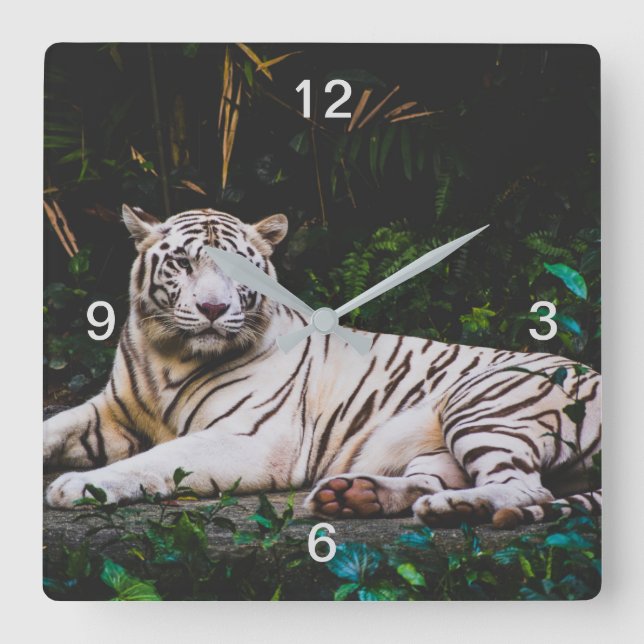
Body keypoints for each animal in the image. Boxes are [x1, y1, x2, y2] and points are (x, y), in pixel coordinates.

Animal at [44, 205, 602, 529]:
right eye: (183, 263)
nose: (213, 309)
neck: (171, 355)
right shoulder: (109, 413)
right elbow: (52, 426)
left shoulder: (253, 439)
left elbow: (157, 459)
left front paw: (77, 486)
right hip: (437, 447)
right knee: (436, 481)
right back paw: (355, 497)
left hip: (481, 402)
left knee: (527, 487)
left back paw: (453, 509)